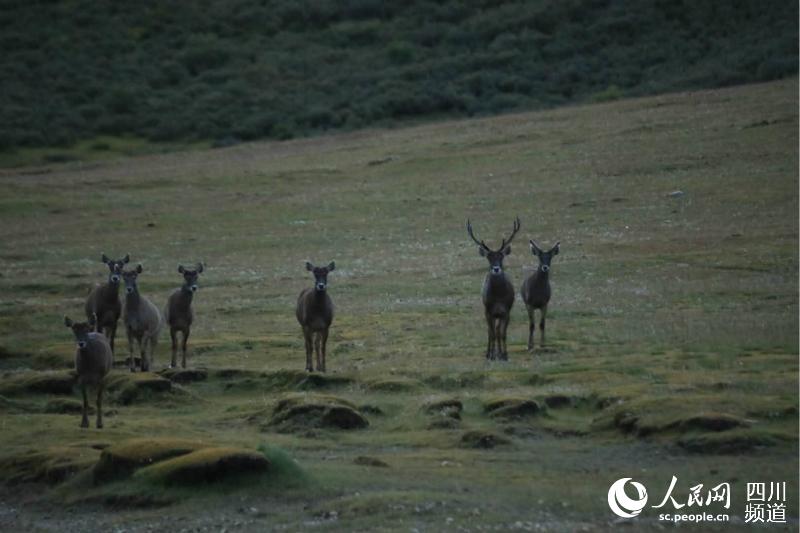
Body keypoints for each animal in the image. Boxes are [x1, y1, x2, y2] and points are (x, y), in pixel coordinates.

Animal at [466, 217, 521, 360]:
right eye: (489, 257)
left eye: (501, 256)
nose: (496, 269)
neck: (498, 298)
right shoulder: (488, 311)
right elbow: (492, 334)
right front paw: (491, 355)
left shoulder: (507, 311)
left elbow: (502, 334)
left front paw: (504, 355)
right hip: (489, 313)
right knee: (490, 332)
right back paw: (490, 353)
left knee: (496, 331)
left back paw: (498, 353)